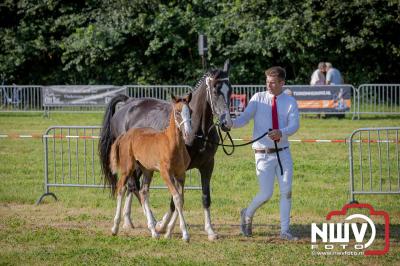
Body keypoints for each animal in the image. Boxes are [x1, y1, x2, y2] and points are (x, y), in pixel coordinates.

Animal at [98, 59, 233, 240]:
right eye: (215, 90)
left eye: (230, 89)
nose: (226, 123)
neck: (198, 131)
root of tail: (127, 103)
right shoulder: (176, 169)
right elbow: (175, 199)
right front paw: (165, 227)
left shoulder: (207, 166)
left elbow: (204, 197)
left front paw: (210, 230)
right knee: (134, 186)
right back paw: (152, 223)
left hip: (142, 165)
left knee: (134, 187)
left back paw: (129, 221)